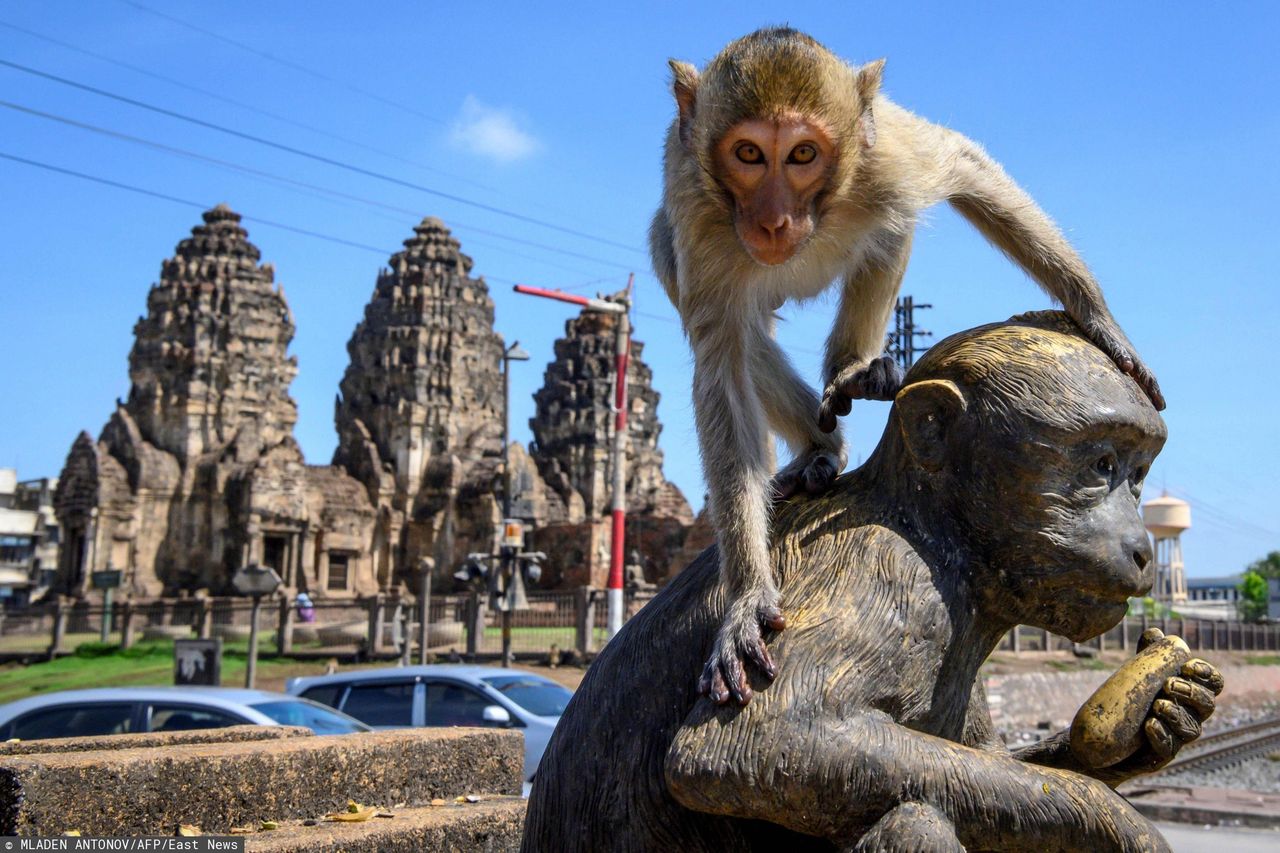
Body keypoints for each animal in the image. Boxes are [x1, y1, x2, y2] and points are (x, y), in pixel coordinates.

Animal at [650, 28, 1162, 701]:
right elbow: (723, 366)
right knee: (723, 314)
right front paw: (747, 598)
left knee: (891, 227)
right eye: (749, 154)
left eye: (803, 154)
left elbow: (963, 164)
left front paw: (1098, 317)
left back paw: (855, 370)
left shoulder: (887, 160)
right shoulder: (699, 214)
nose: (774, 220)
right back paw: (821, 447)